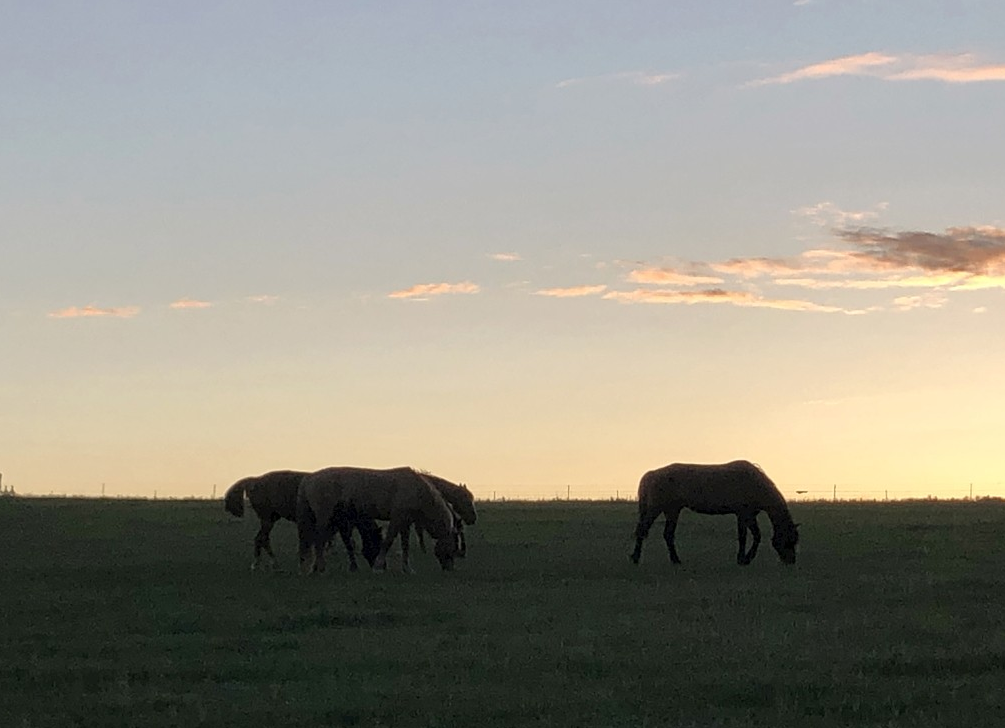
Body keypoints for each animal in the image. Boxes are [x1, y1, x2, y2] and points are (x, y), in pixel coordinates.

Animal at [224, 468, 379, 571]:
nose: (375, 564)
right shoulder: (341, 523)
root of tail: (255, 480)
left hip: (271, 518)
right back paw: (263, 563)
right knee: (261, 539)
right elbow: (343, 542)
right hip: (267, 519)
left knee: (262, 539)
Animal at [295, 466, 458, 575]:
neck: (416, 490)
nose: (449, 569)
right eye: (452, 549)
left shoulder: (405, 522)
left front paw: (407, 569)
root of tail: (309, 478)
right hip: (324, 516)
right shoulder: (397, 518)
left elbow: (405, 545)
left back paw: (315, 568)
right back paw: (320, 567)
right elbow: (388, 541)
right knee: (319, 540)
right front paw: (378, 567)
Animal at [627, 460, 799, 567]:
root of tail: (652, 473)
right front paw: (744, 559)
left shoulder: (746, 515)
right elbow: (750, 536)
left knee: (667, 535)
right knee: (642, 530)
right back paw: (635, 558)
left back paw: (675, 560)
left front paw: (743, 558)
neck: (754, 483)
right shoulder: (745, 514)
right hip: (656, 509)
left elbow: (749, 536)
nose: (791, 561)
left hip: (672, 511)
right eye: (788, 540)